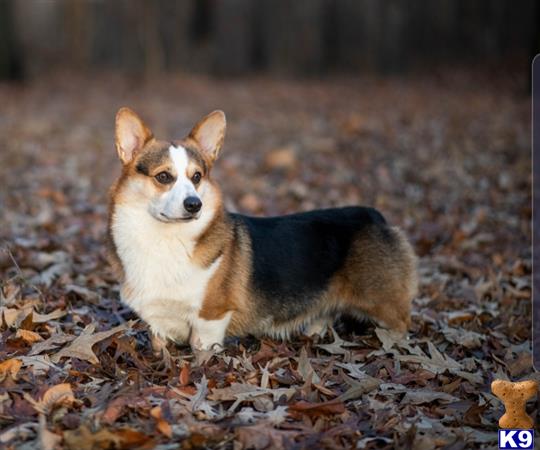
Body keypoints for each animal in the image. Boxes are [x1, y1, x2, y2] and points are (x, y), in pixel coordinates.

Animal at [106, 108, 418, 352]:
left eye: (197, 177)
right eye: (163, 177)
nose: (194, 205)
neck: (163, 239)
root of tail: (374, 215)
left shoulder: (211, 317)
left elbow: (202, 350)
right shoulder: (157, 323)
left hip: (382, 303)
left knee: (402, 323)